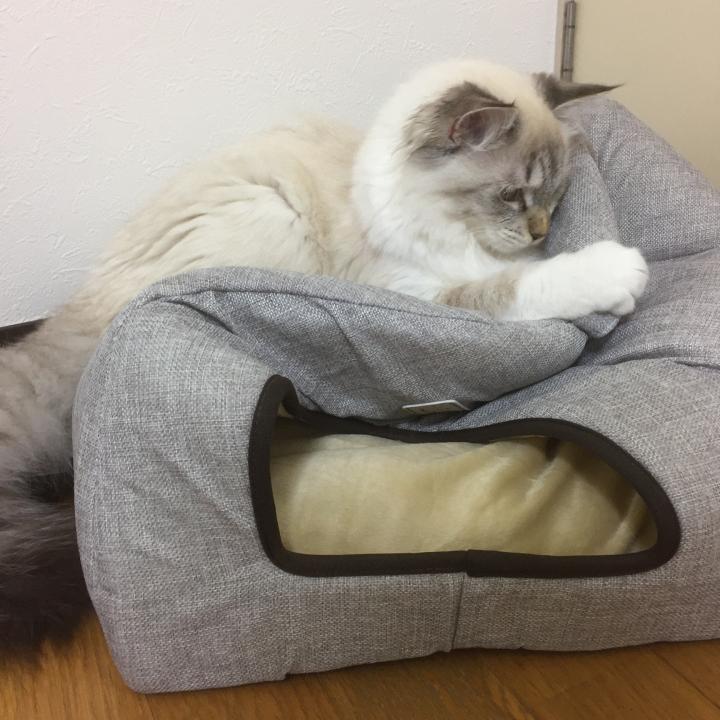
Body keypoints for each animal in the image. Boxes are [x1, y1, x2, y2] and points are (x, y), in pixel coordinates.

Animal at [0, 58, 648, 653]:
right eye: (513, 195)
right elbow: (518, 287)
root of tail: (72, 315)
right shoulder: (426, 294)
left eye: (556, 198)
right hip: (273, 213)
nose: (539, 232)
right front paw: (621, 274)